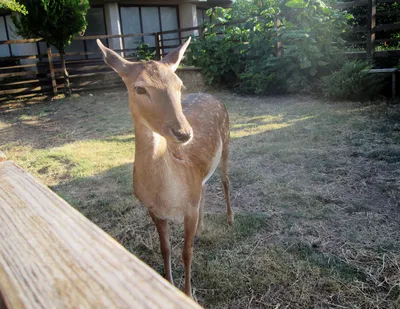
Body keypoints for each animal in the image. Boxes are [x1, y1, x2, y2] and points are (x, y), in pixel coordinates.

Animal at [97, 37, 233, 298]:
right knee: (206, 186)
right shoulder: (154, 210)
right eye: (139, 88)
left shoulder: (189, 208)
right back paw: (201, 229)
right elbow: (165, 250)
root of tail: (213, 96)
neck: (167, 194)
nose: (184, 133)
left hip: (227, 142)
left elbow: (186, 253)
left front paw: (188, 294)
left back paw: (230, 219)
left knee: (225, 181)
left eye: (180, 85)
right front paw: (169, 284)